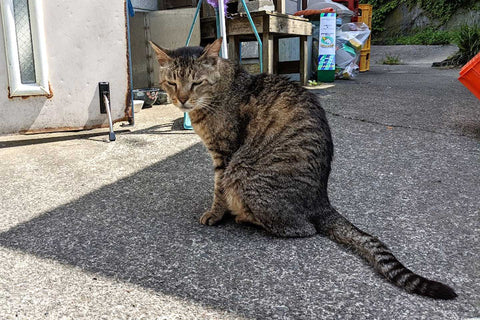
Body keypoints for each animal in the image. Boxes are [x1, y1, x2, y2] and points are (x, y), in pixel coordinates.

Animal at [150, 38, 458, 300]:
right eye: (172, 82)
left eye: (196, 83)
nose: (181, 100)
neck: (220, 91)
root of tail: (322, 200)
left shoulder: (225, 155)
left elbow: (218, 189)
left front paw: (215, 214)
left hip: (243, 173)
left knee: (301, 228)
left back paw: (246, 217)